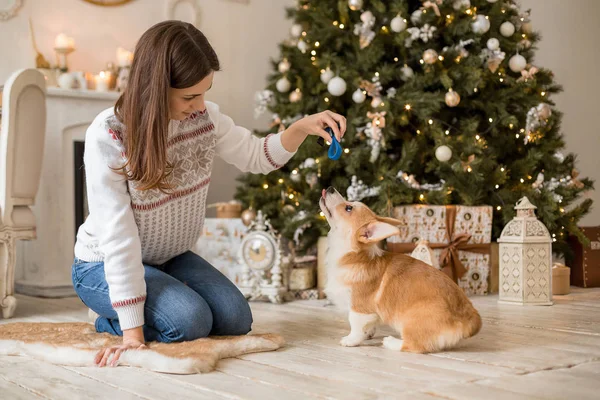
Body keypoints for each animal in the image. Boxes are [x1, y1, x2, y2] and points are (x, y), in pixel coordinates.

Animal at [318, 188, 482, 354]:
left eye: (348, 208)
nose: (330, 188)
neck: (352, 255)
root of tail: (470, 319)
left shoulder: (359, 308)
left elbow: (356, 326)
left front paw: (351, 340)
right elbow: (369, 326)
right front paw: (369, 333)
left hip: (411, 321)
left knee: (414, 345)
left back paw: (391, 342)